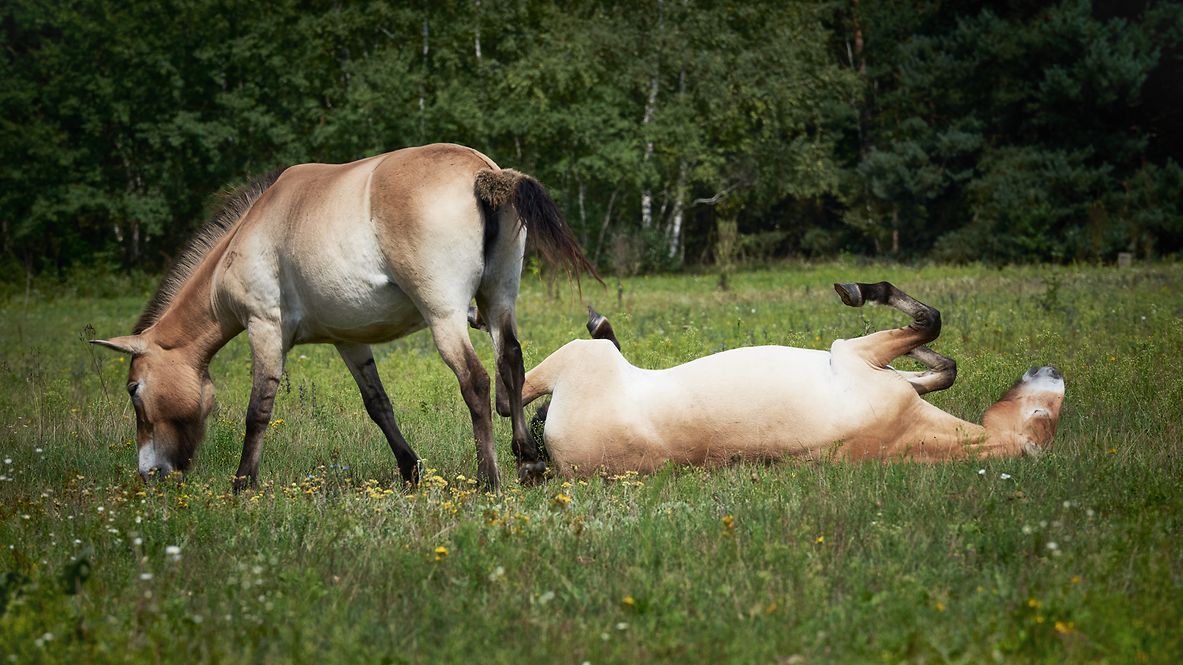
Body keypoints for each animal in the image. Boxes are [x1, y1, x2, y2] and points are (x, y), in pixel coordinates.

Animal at [92, 143, 598, 490]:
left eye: (134, 389)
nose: (150, 472)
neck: (250, 233)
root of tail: (481, 172)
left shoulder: (264, 327)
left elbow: (258, 409)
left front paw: (243, 483)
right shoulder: (349, 340)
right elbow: (378, 405)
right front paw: (410, 470)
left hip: (445, 314)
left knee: (475, 380)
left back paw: (487, 479)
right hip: (497, 301)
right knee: (510, 364)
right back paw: (527, 462)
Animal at [513, 281, 1065, 476]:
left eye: (1045, 413)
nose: (1053, 371)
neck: (905, 434)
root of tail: (559, 461)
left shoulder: (853, 353)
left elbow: (929, 322)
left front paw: (858, 291)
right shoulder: (870, 361)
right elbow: (943, 364)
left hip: (580, 360)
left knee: (510, 393)